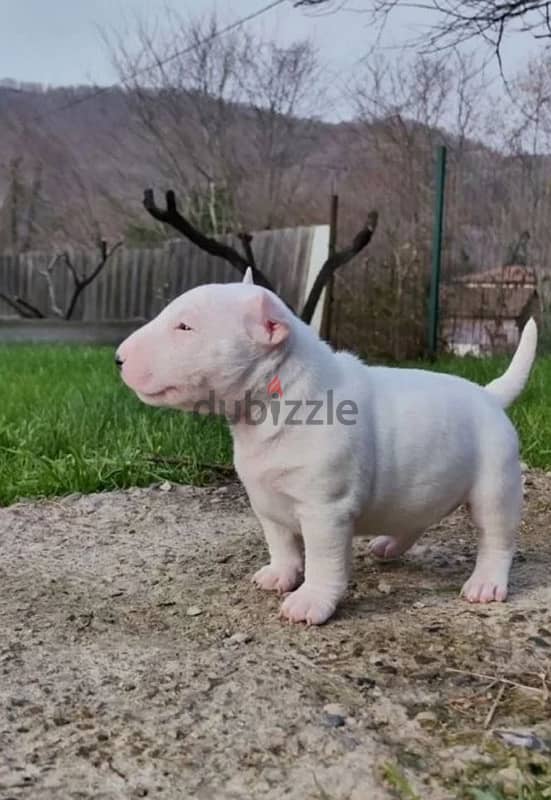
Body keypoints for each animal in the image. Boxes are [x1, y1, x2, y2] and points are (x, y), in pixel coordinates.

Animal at [117, 268, 540, 624]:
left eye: (185, 326)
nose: (117, 358)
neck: (274, 400)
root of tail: (488, 395)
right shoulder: (266, 502)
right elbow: (281, 543)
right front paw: (280, 575)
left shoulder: (326, 511)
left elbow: (322, 560)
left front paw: (310, 601)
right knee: (415, 517)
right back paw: (389, 545)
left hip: (495, 484)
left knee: (497, 537)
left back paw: (486, 584)